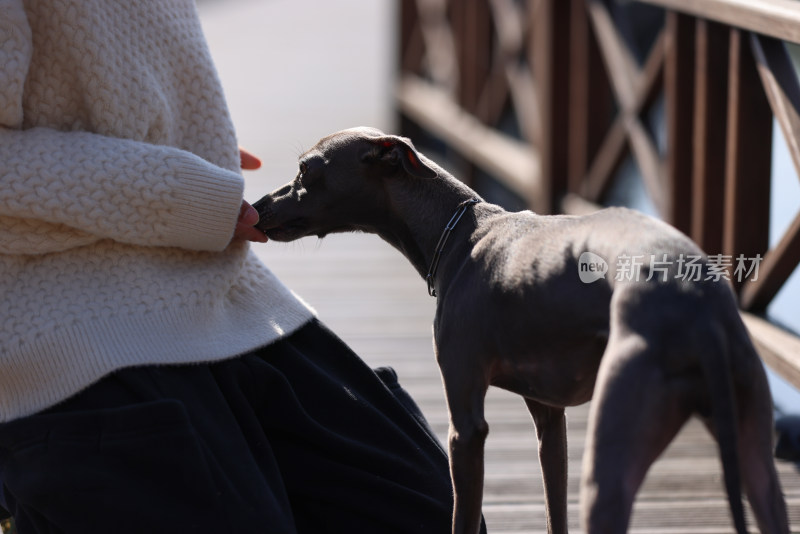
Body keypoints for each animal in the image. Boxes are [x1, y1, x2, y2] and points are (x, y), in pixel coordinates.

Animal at [253, 126, 792, 534]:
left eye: (306, 171)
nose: (257, 207)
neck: (459, 229)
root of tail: (696, 307)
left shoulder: (466, 427)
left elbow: (463, 517)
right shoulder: (550, 421)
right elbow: (555, 508)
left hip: (610, 465)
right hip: (757, 463)